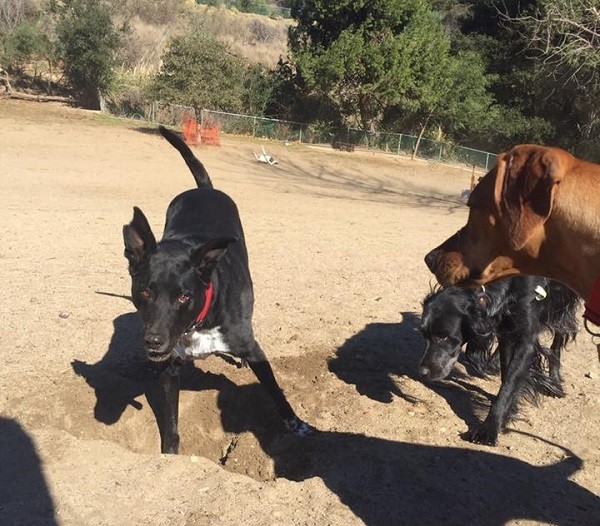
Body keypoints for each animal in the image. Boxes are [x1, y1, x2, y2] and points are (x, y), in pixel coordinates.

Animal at [120, 127, 312, 454]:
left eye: (184, 295)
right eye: (144, 292)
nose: (154, 341)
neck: (199, 323)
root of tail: (204, 189)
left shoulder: (253, 350)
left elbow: (276, 392)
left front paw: (297, 425)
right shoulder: (170, 367)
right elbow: (171, 422)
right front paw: (170, 455)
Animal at [420, 278, 580, 448]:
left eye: (444, 336)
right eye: (424, 334)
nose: (422, 372)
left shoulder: (525, 341)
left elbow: (509, 385)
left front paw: (489, 428)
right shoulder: (506, 333)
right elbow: (506, 376)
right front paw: (509, 411)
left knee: (559, 336)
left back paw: (554, 380)